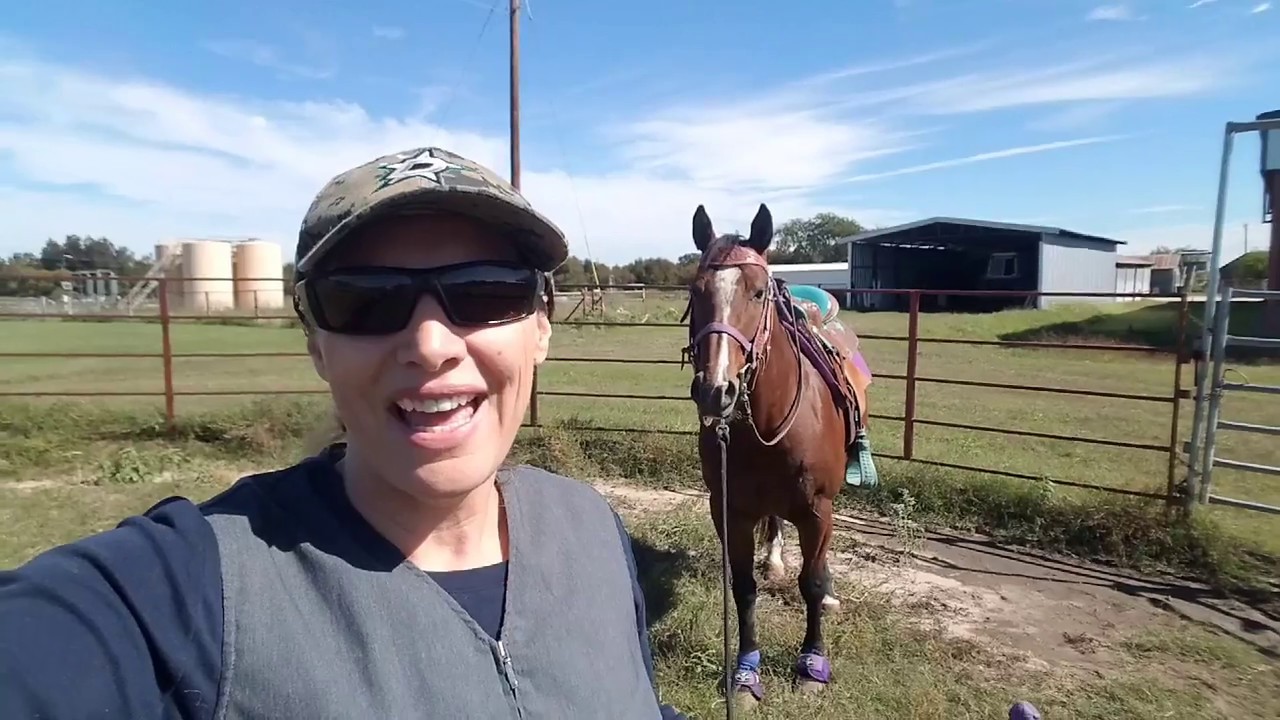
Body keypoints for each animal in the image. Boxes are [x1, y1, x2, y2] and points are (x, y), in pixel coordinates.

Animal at [682, 202, 876, 708]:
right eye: (696, 290)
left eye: (756, 292)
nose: (716, 390)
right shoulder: (729, 509)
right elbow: (743, 587)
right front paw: (747, 672)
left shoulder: (818, 510)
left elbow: (811, 583)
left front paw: (812, 664)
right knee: (773, 525)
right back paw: (773, 559)